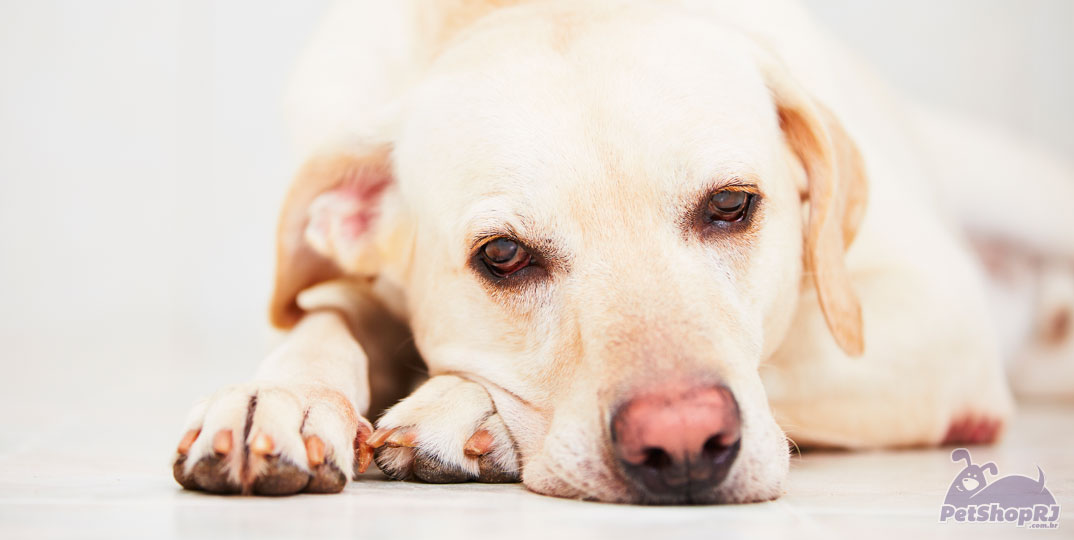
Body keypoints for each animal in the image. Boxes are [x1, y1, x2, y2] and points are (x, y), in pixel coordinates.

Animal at [171, 1, 1069, 506]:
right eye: (503, 256)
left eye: (731, 206)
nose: (683, 447)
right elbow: (327, 315)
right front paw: (279, 398)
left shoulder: (934, 313)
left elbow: (787, 354)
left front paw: (467, 410)